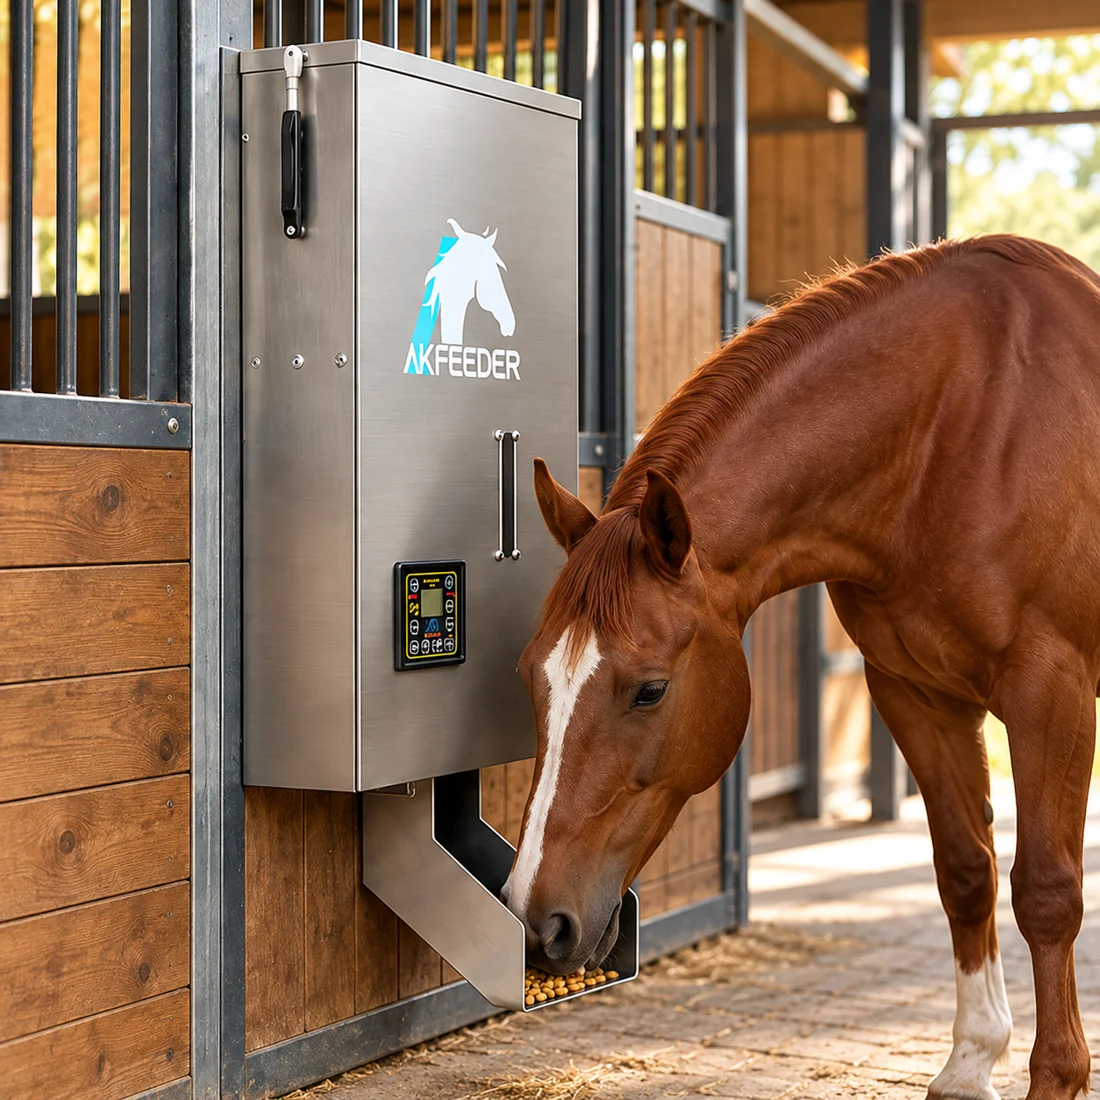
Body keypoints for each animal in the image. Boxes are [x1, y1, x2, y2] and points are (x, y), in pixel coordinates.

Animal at [502, 235, 1100, 1100]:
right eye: (531, 677)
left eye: (650, 690)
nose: (536, 921)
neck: (962, 427)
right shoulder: (915, 693)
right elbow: (966, 871)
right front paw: (970, 1060)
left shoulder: (1050, 694)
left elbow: (1047, 891)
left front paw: (1056, 1074)